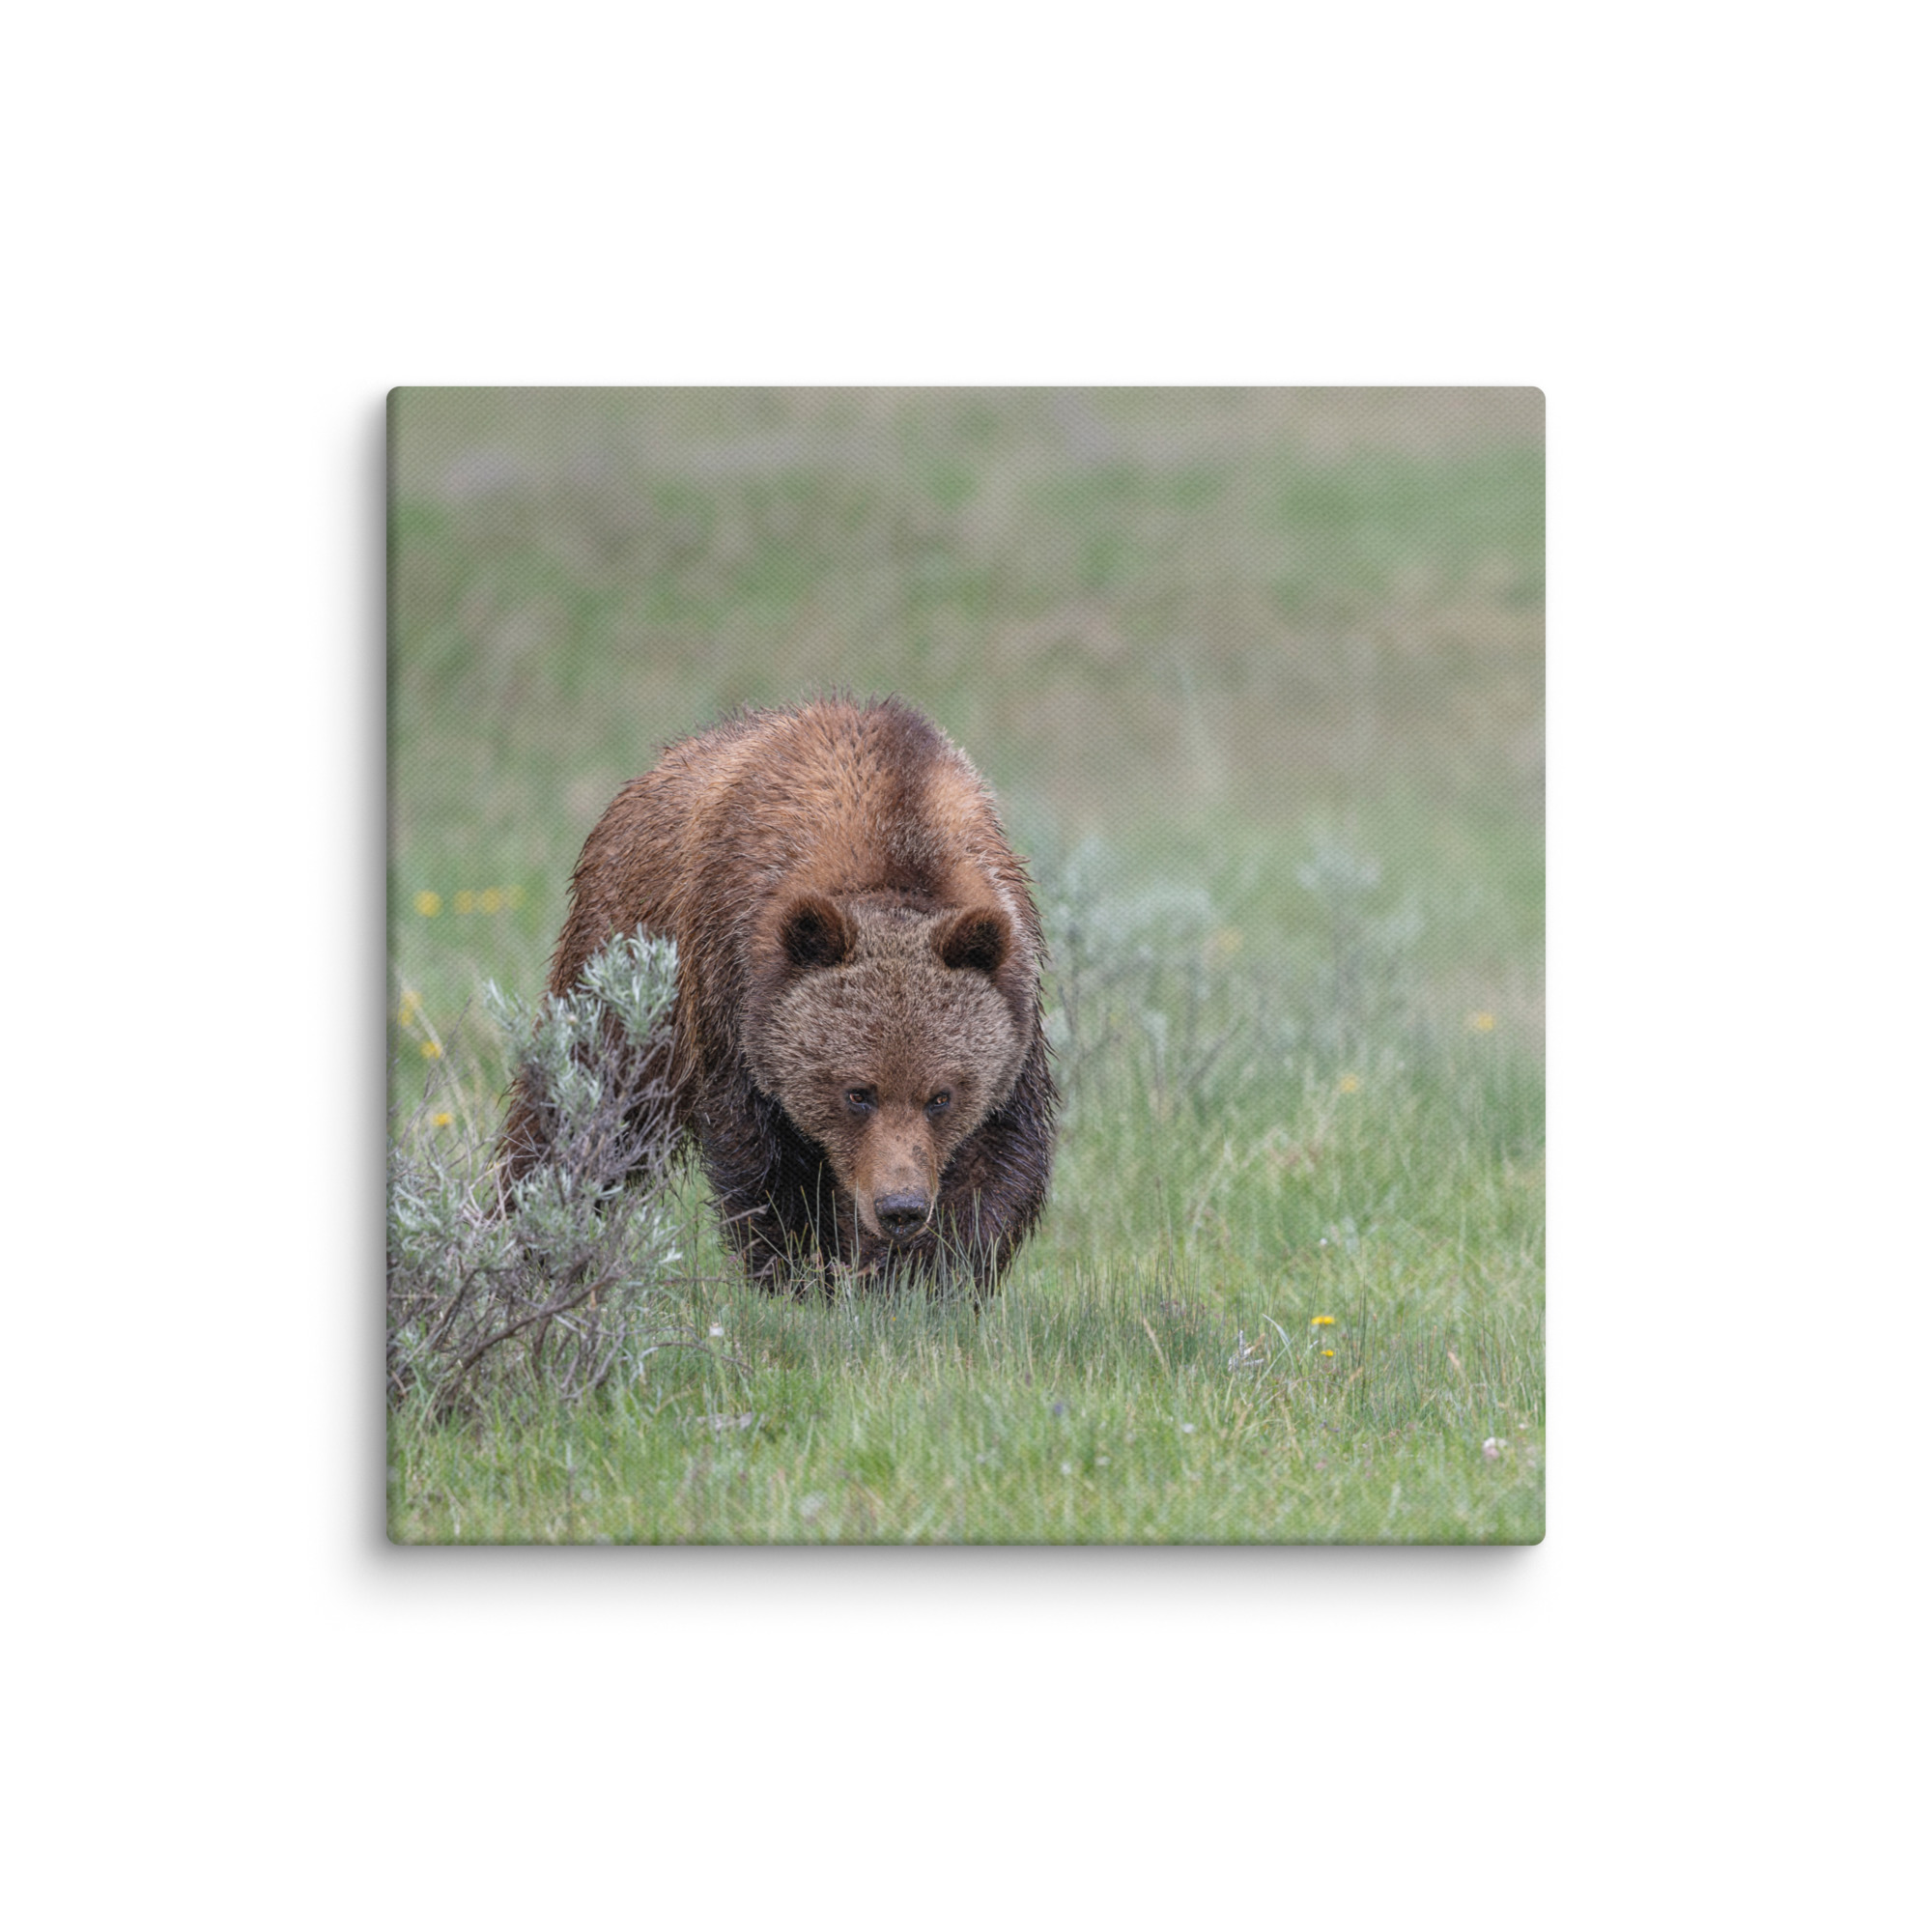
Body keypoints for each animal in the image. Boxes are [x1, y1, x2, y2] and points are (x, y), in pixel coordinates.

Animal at [497, 695, 1058, 1293]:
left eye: (941, 1096)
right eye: (857, 1092)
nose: (900, 1207)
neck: (896, 840)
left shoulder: (1013, 1008)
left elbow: (995, 1162)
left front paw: (921, 1278)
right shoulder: (734, 994)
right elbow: (766, 1165)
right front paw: (801, 1274)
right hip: (625, 962)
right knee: (583, 1103)